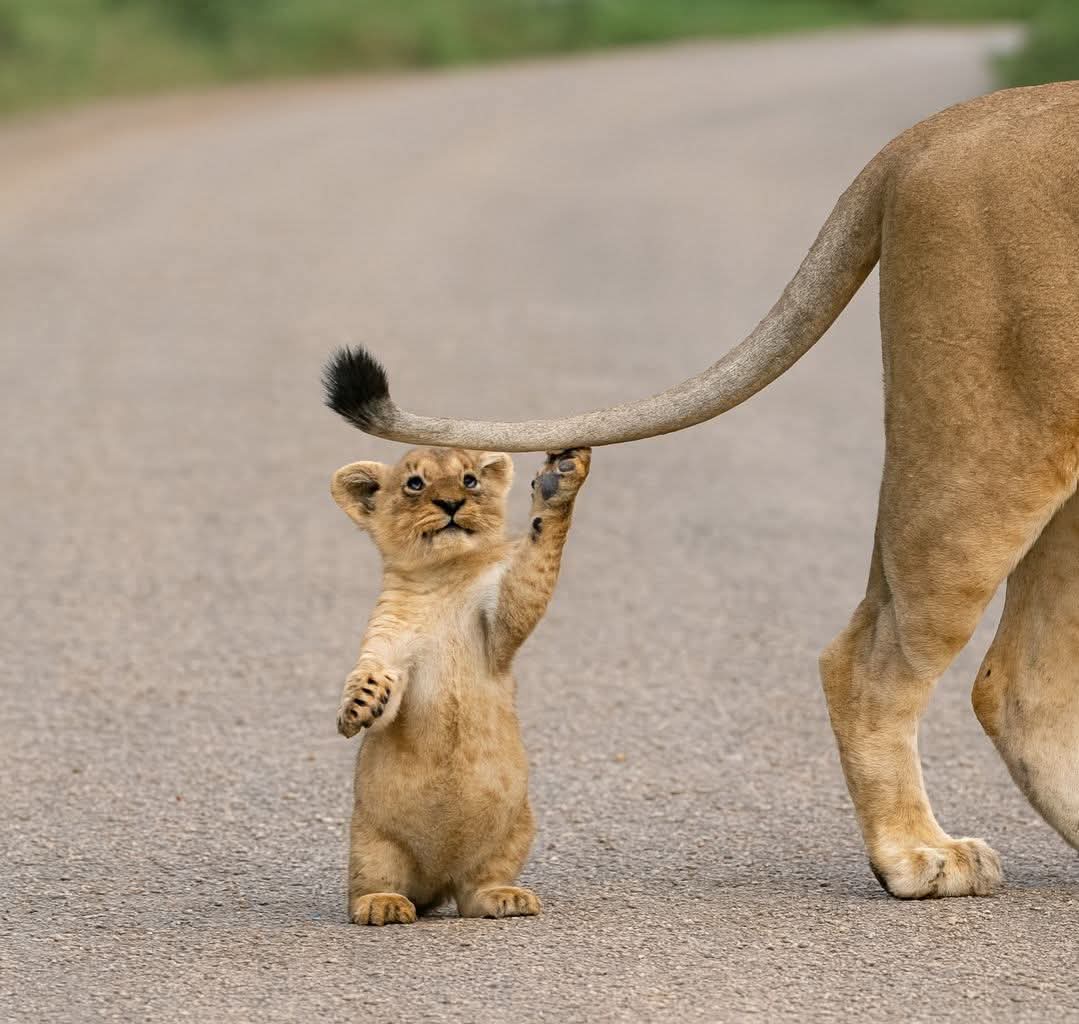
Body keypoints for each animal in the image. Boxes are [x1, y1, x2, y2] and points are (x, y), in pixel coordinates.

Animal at [330, 444, 590, 924]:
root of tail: (438, 878)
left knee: (473, 893)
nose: (451, 503)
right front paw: (358, 705)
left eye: (469, 480)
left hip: (514, 831)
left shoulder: (499, 630)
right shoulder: (386, 639)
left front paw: (556, 483)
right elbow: (375, 676)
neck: (444, 577)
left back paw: (507, 897)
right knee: (370, 884)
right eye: (415, 484)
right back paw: (382, 905)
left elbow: (531, 578)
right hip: (371, 840)